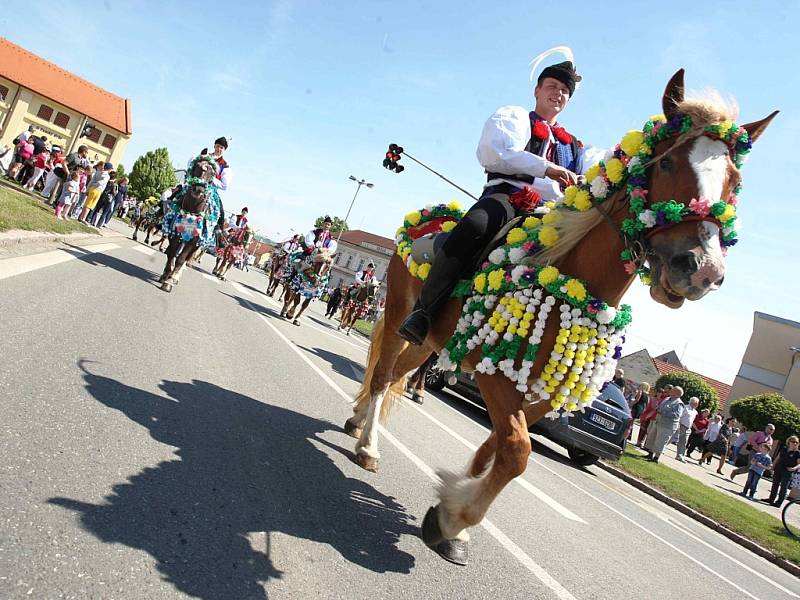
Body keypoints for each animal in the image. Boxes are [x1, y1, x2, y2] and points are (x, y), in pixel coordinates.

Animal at [342, 71, 776, 568]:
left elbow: (500, 446)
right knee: (381, 377)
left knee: (396, 374)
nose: (702, 270)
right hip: (400, 312)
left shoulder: (544, 393)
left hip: (431, 341)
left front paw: (456, 504)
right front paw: (453, 519)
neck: (570, 276)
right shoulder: (496, 376)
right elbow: (517, 451)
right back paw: (368, 445)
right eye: (667, 164)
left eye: (734, 180)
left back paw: (359, 423)